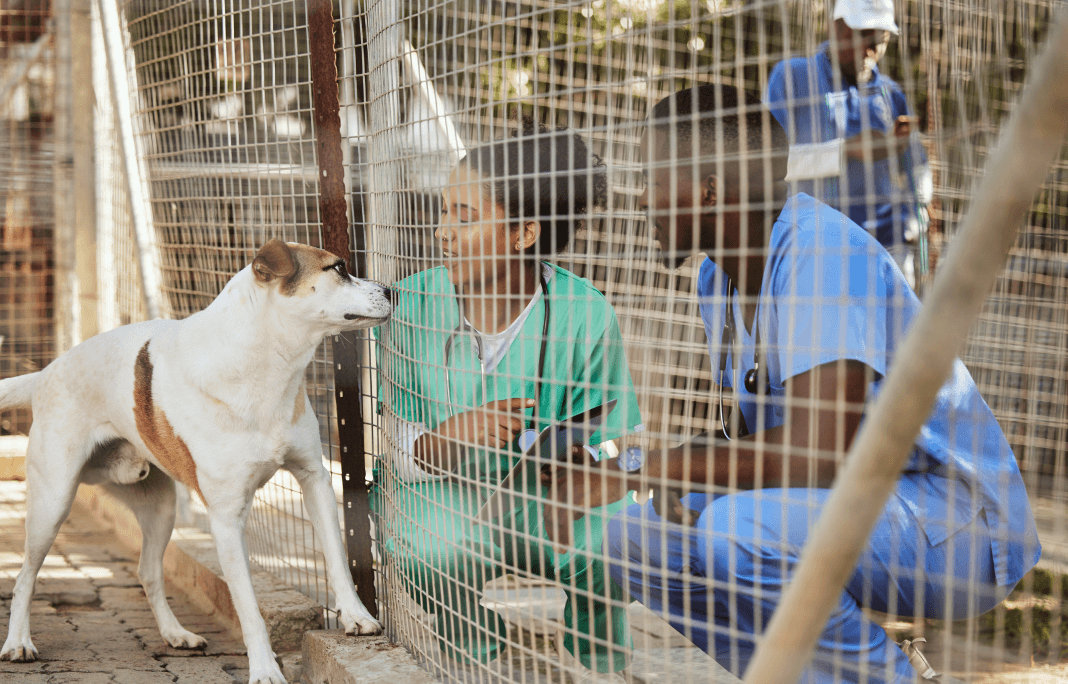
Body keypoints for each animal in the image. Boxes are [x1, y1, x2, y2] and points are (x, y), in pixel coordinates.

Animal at [0, 240, 390, 684]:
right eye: (338, 268)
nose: (391, 290)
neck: (264, 365)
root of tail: (45, 373)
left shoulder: (315, 479)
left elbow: (339, 560)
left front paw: (357, 617)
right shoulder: (226, 519)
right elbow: (248, 608)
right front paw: (264, 669)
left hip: (160, 507)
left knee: (148, 572)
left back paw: (176, 634)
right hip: (53, 503)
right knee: (25, 576)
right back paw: (18, 643)